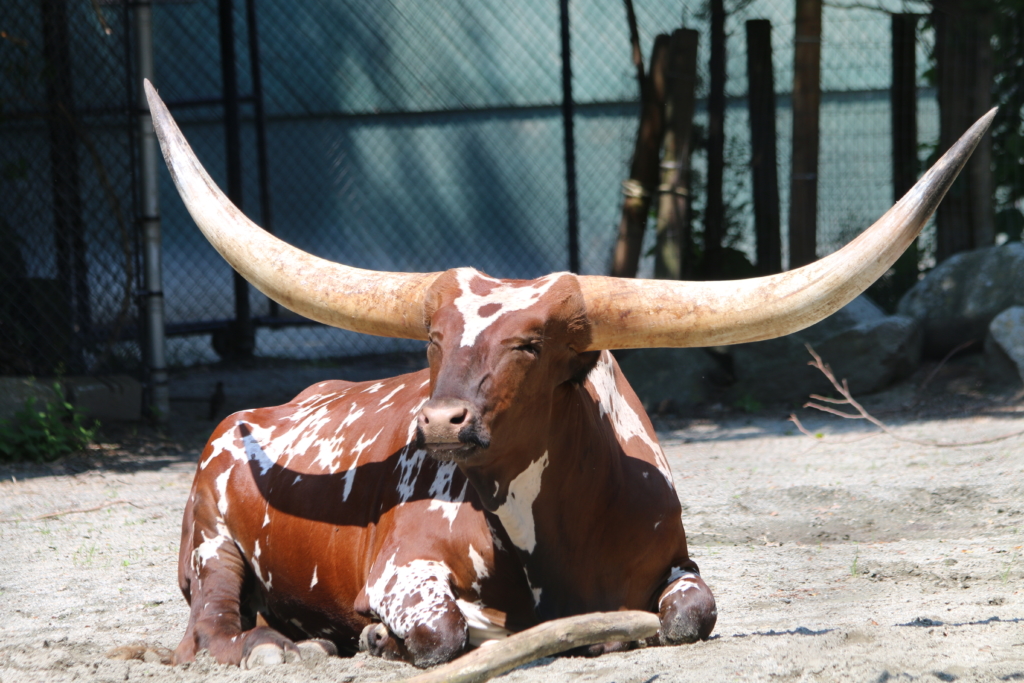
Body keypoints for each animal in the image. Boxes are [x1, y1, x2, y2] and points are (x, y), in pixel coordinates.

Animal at [145, 81, 993, 669]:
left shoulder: (678, 563)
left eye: (530, 344)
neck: (548, 531)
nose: (439, 421)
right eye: (433, 339)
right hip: (212, 543)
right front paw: (391, 637)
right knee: (212, 627)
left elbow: (692, 613)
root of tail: (244, 418)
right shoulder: (402, 568)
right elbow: (446, 628)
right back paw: (282, 645)